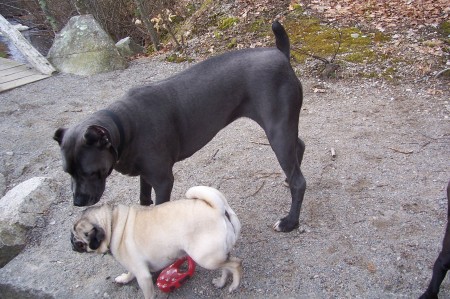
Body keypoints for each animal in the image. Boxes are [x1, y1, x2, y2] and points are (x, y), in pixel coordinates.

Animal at [52, 21, 306, 232]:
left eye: (89, 172)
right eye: (67, 172)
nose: (77, 202)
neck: (124, 125)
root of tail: (280, 55)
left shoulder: (163, 181)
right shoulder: (145, 175)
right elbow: (144, 200)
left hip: (277, 132)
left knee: (299, 181)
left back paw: (290, 222)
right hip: (282, 129)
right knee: (299, 147)